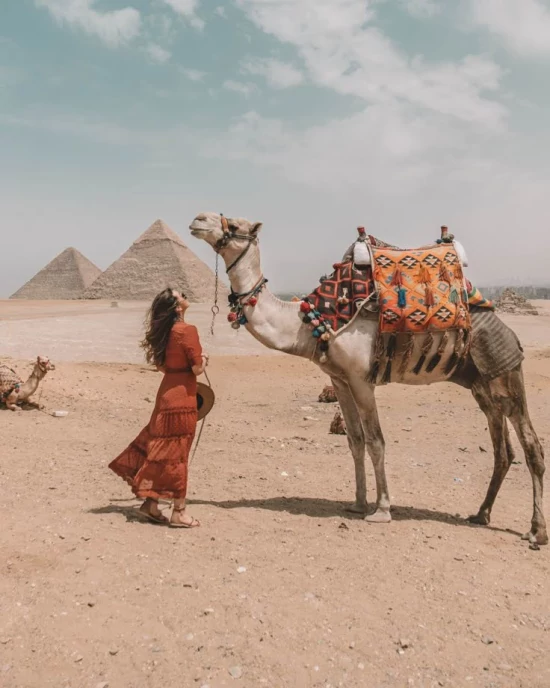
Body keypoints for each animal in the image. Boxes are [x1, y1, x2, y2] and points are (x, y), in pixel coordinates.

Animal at [189, 212, 548, 544]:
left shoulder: (362, 379)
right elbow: (355, 440)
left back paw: (536, 531)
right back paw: (481, 514)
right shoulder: (339, 379)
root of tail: (506, 329)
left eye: (236, 225)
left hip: (505, 371)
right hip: (481, 384)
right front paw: (358, 503)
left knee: (531, 445)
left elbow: (376, 441)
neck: (309, 323)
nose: (198, 219)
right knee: (503, 451)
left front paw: (382, 509)